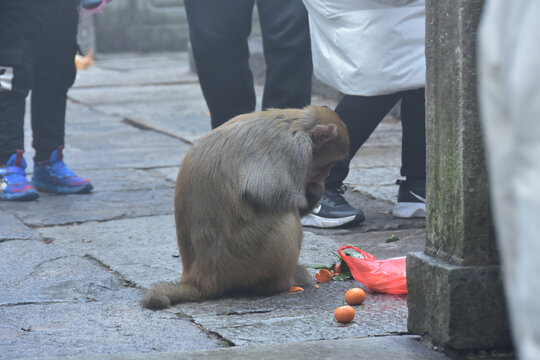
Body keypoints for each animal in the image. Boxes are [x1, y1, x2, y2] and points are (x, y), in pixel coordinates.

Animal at [141, 105, 348, 310]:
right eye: (329, 163)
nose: (327, 173)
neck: (298, 123)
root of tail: (199, 278)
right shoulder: (295, 151)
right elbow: (270, 195)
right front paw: (315, 191)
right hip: (242, 256)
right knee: (286, 217)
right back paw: (281, 284)